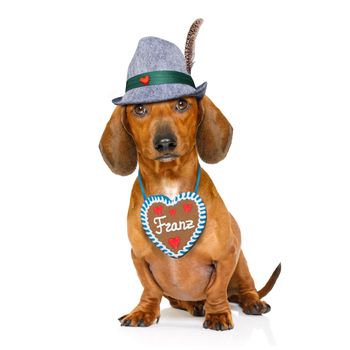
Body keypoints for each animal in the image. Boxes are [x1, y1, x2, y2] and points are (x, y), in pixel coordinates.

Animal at [99, 93, 282, 330]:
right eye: (139, 109)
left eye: (182, 103)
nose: (165, 142)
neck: (169, 183)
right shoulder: (139, 257)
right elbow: (150, 288)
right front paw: (143, 311)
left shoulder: (226, 255)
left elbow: (216, 289)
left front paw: (218, 313)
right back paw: (195, 304)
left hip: (240, 263)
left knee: (245, 288)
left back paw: (252, 302)